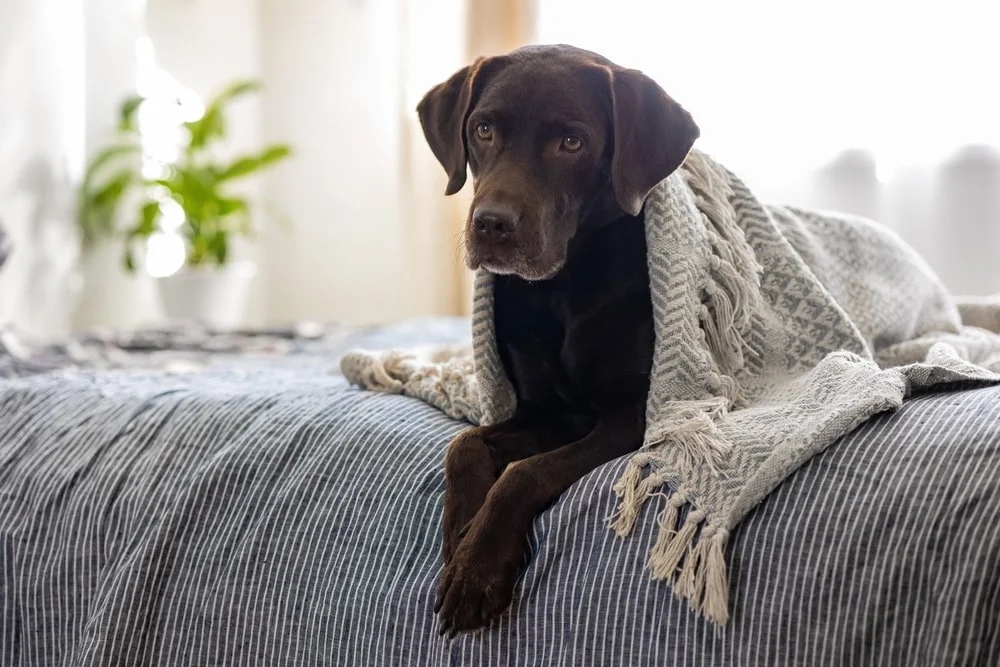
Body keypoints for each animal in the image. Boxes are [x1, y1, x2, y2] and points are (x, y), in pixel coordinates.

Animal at [344, 43, 1000, 636]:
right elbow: (465, 447)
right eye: (483, 129)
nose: (491, 225)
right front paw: (459, 532)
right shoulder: (546, 410)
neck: (563, 289)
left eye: (571, 142)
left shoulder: (629, 416)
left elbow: (523, 475)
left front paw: (476, 570)